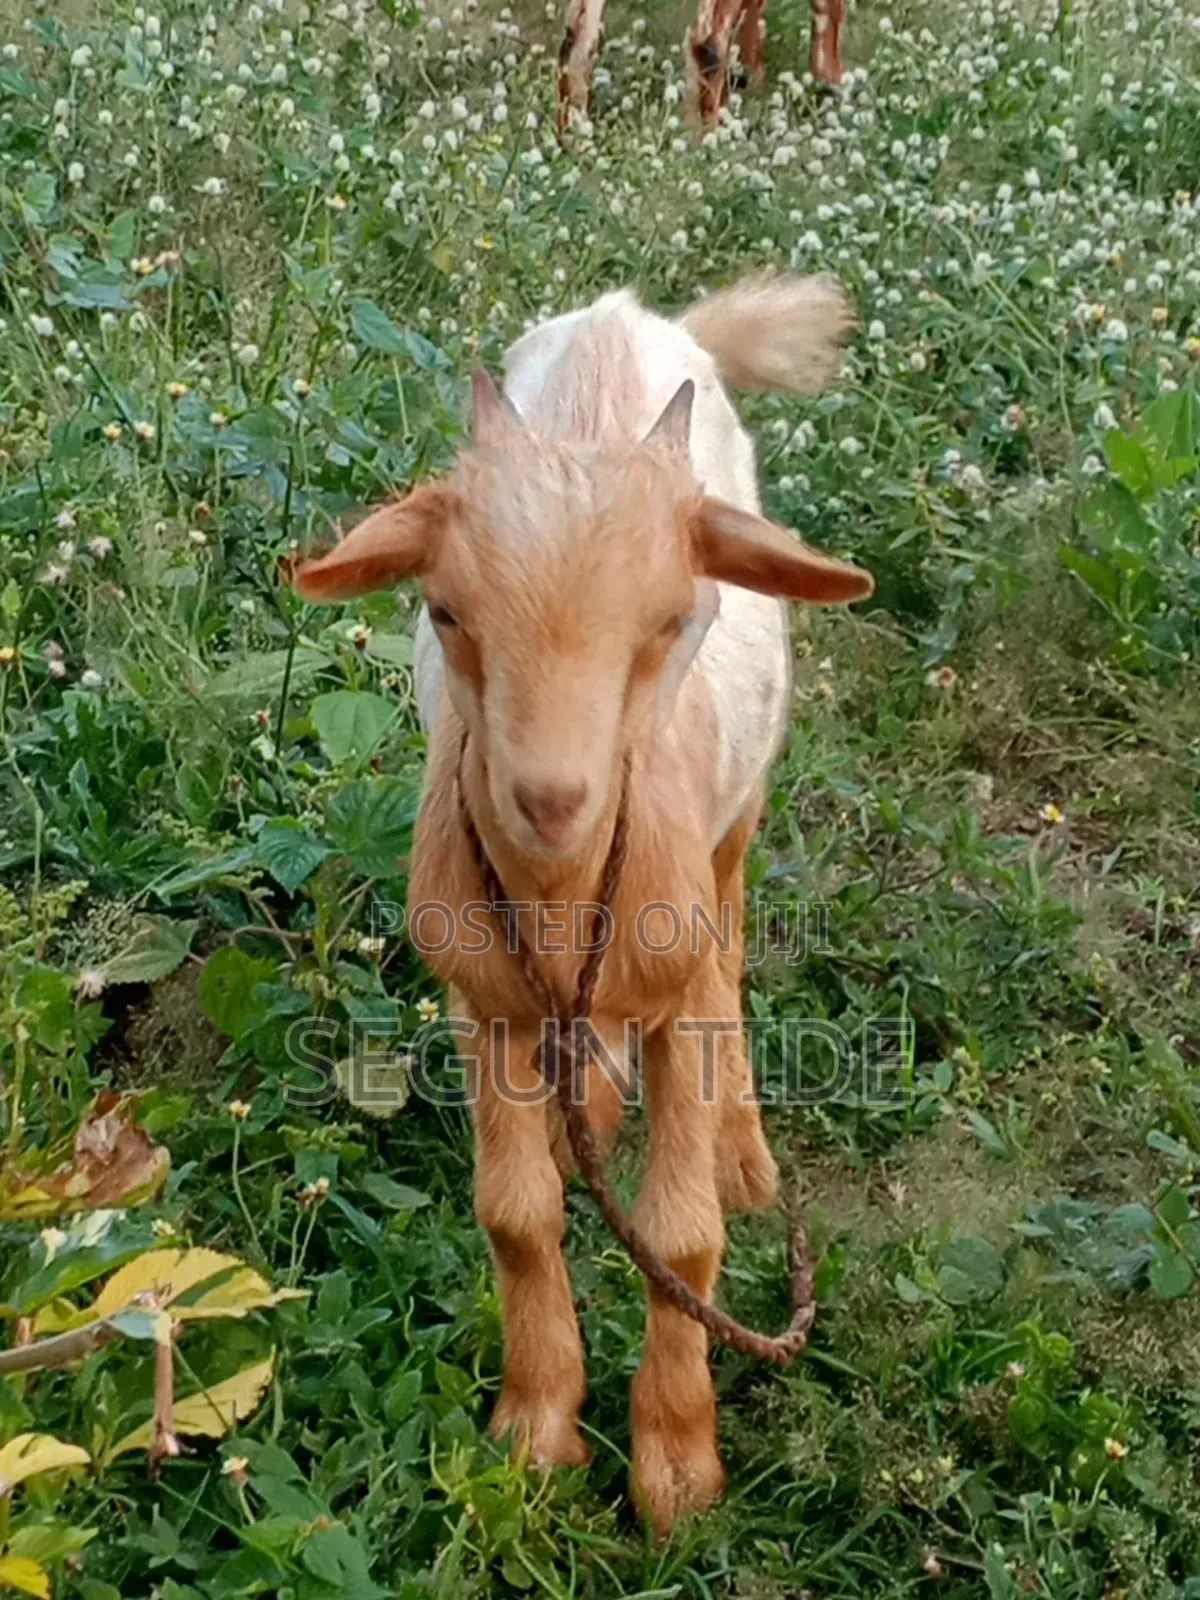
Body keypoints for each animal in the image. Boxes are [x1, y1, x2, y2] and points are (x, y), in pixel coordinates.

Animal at [293, 273, 873, 1533]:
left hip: (738, 821)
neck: (564, 899)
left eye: (674, 617)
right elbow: (515, 1215)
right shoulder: (486, 1001)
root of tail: (632, 314)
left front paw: (677, 1468)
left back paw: (742, 1153)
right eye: (444, 613)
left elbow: (684, 1237)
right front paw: (537, 1430)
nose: (551, 799)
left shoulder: (677, 980)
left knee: (735, 928)